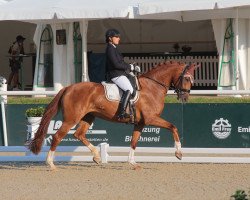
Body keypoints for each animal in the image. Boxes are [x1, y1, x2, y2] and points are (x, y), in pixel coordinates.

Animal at [28, 60, 197, 169]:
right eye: (187, 78)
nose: (185, 97)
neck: (153, 86)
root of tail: (68, 88)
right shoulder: (151, 119)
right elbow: (173, 127)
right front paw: (179, 153)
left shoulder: (140, 123)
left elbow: (134, 142)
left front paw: (132, 162)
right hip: (71, 119)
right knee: (58, 136)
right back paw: (50, 163)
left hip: (88, 117)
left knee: (78, 134)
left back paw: (97, 156)